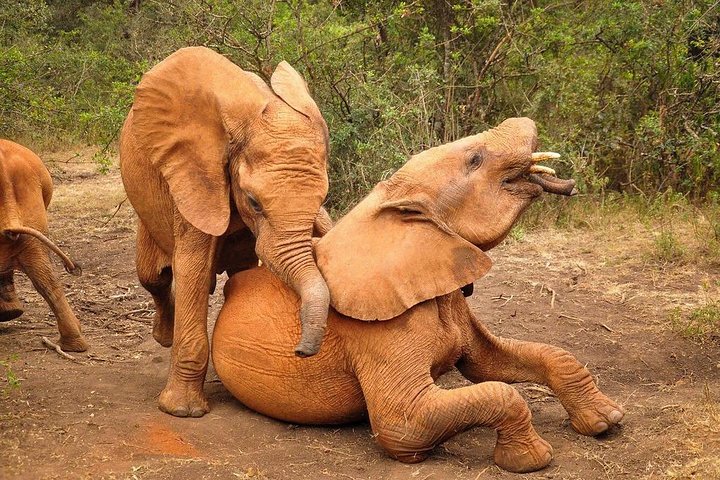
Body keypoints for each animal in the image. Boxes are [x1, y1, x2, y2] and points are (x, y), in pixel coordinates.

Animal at [119, 47, 333, 417]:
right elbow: (191, 264)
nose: (301, 351)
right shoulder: (194, 174)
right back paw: (165, 337)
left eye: (323, 198)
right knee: (153, 275)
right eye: (254, 202)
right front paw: (183, 412)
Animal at [212, 118, 624, 473]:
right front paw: (532, 459)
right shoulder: (378, 335)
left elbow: (498, 362)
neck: (397, 208)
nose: (571, 186)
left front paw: (608, 421)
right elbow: (406, 424)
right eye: (475, 159)